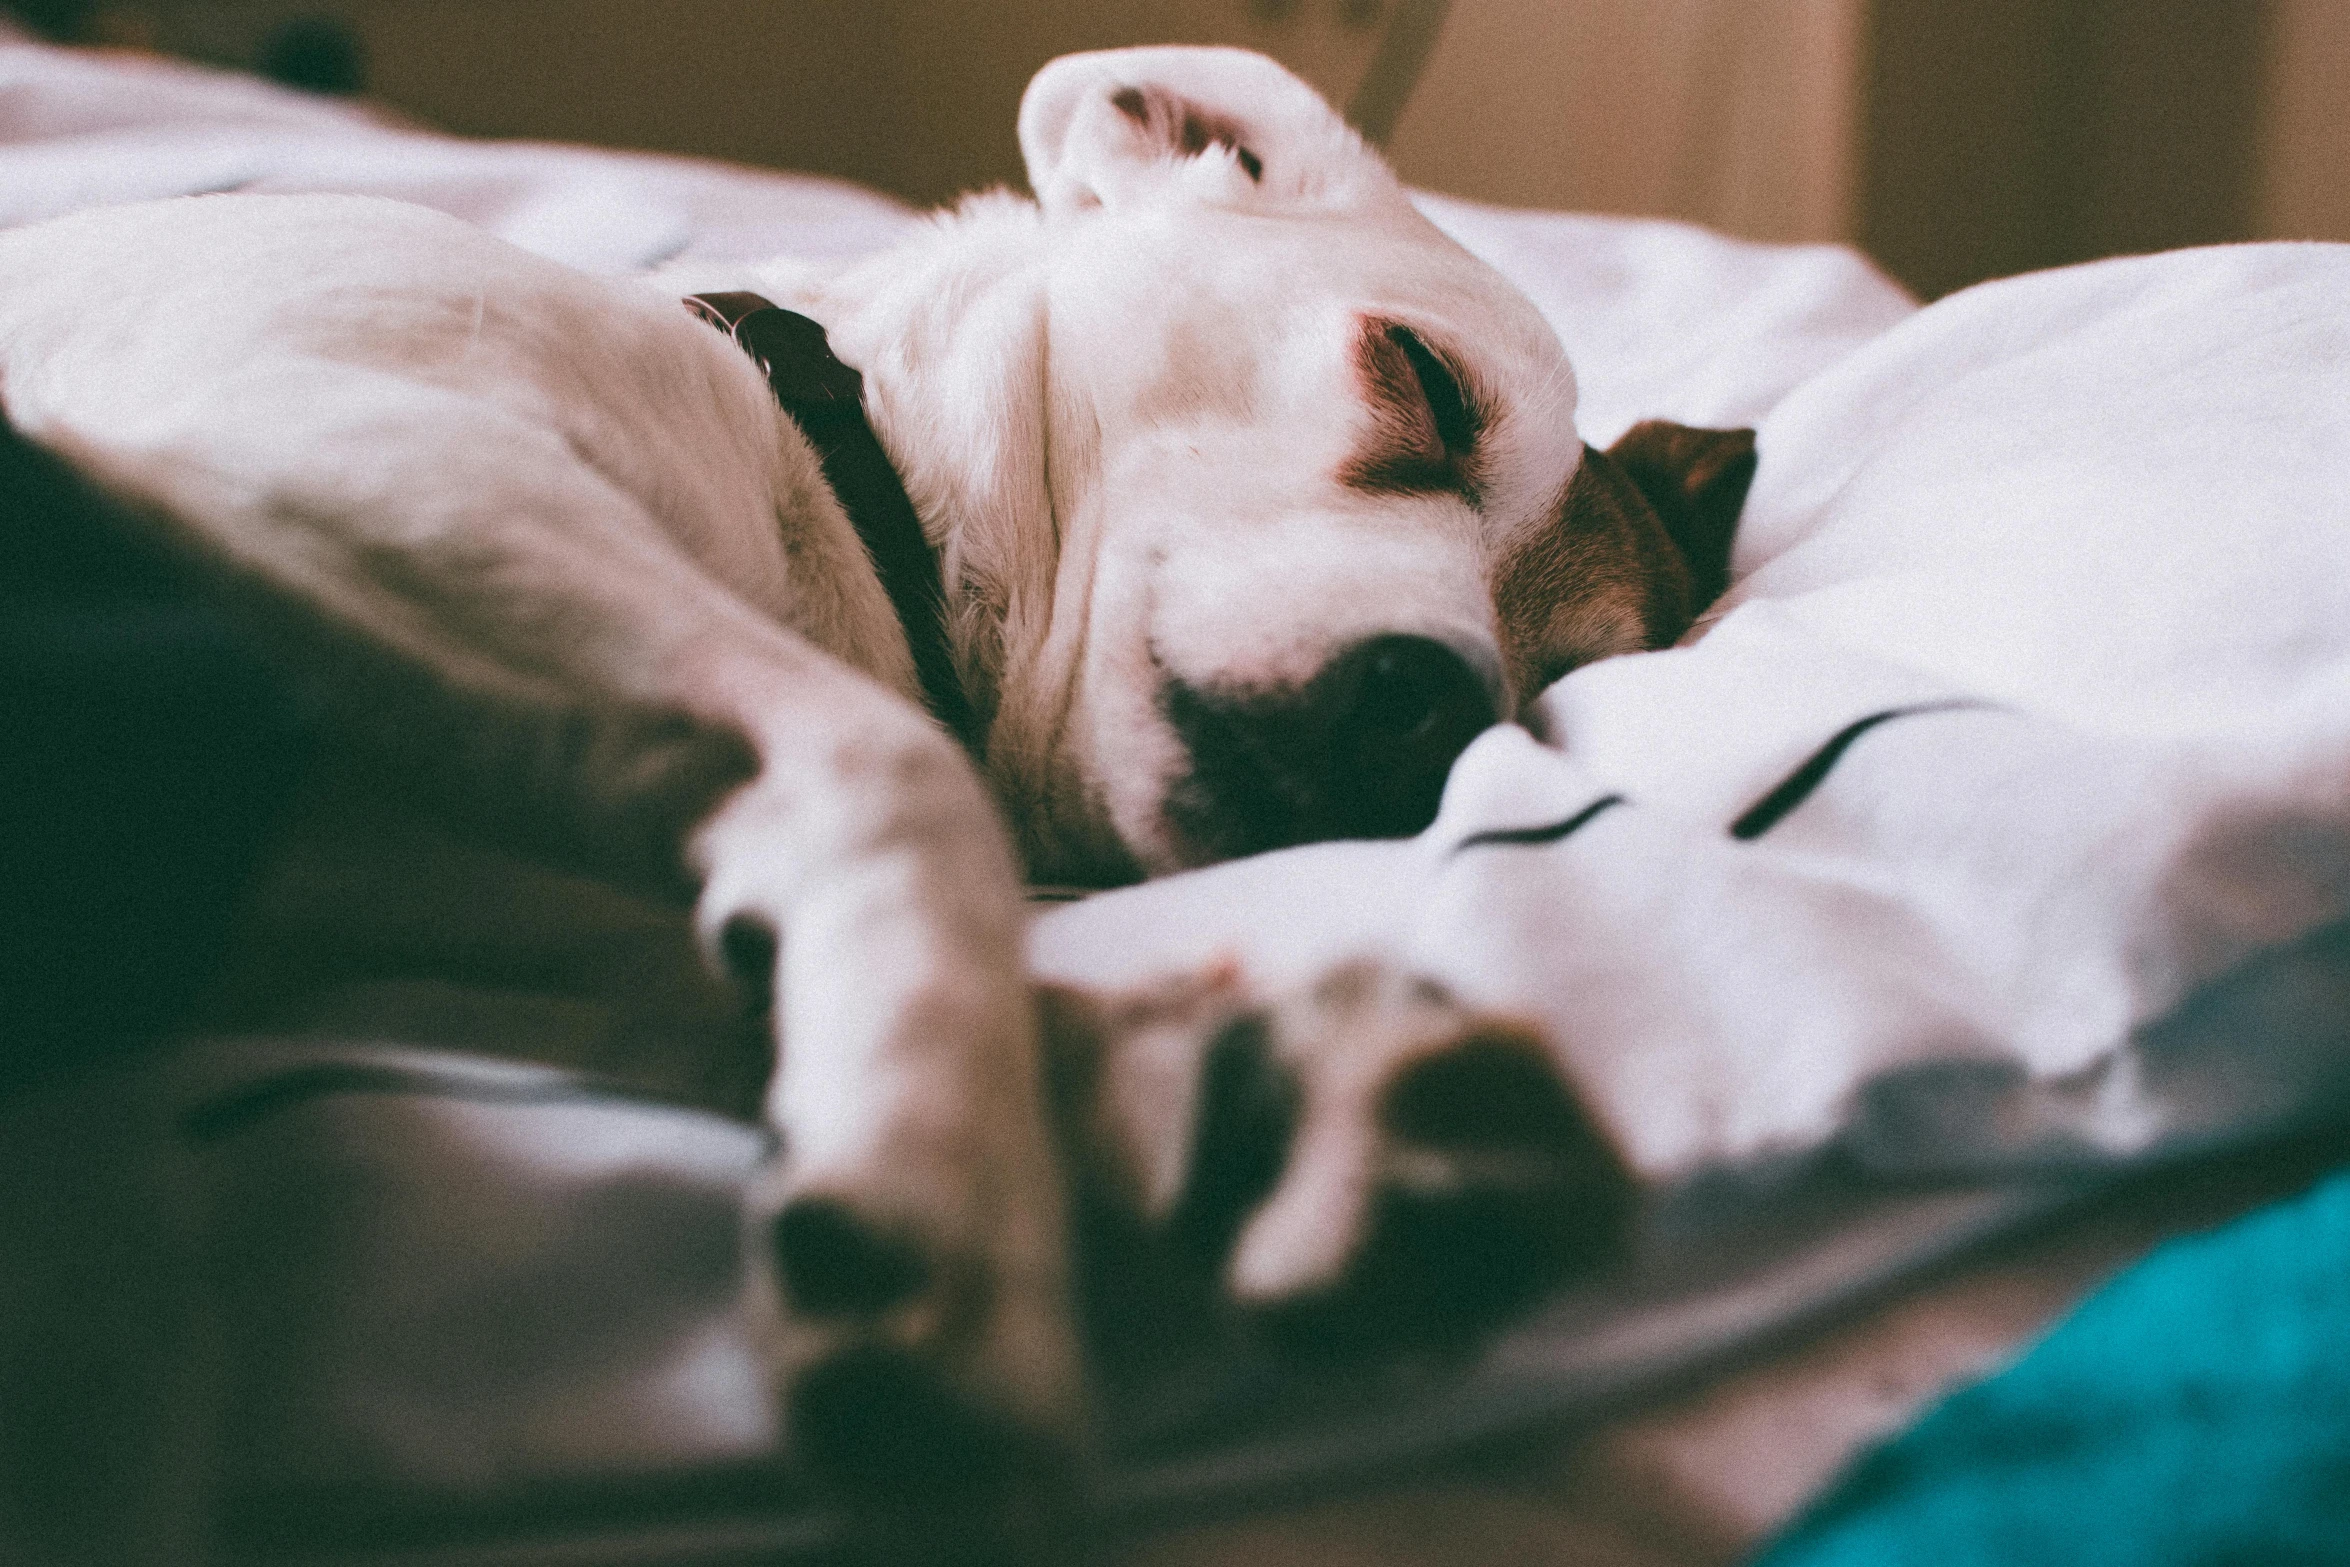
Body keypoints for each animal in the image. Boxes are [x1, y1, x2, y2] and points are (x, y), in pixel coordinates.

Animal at [0, 46, 1757, 1541]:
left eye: (1558, 684)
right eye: (1426, 383)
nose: (1434, 713)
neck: (832, 482)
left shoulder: (428, 920)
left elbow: (899, 983)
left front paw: (1224, 1100)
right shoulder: (331, 444)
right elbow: (899, 775)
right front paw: (943, 1190)